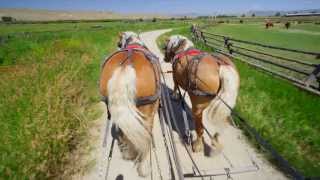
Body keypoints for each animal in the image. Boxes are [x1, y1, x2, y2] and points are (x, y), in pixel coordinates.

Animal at [99, 31, 160, 176]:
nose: (117, 45)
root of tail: (125, 65)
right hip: (147, 110)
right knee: (146, 134)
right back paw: (143, 166)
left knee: (125, 129)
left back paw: (128, 152)